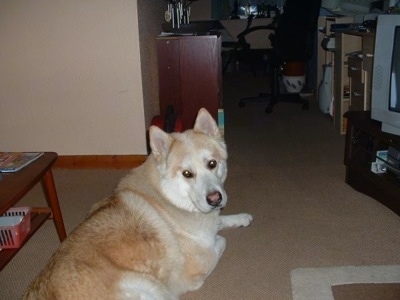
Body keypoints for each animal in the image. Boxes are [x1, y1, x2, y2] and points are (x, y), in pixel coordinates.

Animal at [23, 108, 252, 300]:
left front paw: (241, 218)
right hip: (150, 288)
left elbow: (221, 221)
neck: (168, 199)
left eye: (212, 164)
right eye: (187, 174)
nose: (215, 198)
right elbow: (220, 240)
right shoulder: (197, 268)